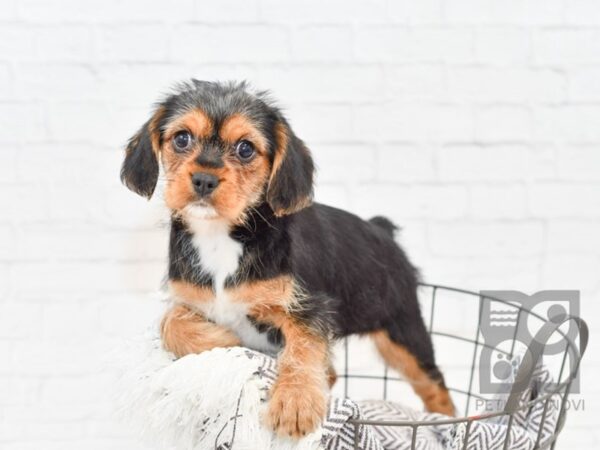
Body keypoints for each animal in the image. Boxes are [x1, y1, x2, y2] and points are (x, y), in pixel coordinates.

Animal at [119, 80, 452, 436]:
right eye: (182, 138)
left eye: (245, 148)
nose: (204, 180)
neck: (222, 236)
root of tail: (382, 231)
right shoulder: (190, 298)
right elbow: (169, 322)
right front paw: (220, 339)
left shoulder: (308, 308)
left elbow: (302, 349)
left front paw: (295, 401)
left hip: (404, 331)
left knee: (434, 385)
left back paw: (445, 423)